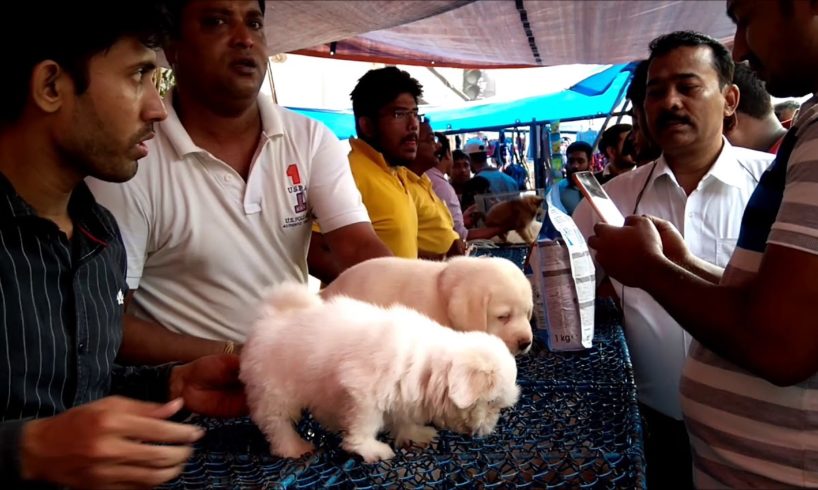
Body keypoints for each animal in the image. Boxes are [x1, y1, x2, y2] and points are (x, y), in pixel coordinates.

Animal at [241, 284, 516, 464]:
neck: (427, 364)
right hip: (274, 390)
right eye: (492, 403)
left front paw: (414, 434)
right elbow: (366, 424)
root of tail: (270, 316)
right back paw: (293, 447)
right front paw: (368, 448)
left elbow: (402, 418)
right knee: (276, 423)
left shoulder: (403, 393)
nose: (490, 428)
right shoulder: (363, 394)